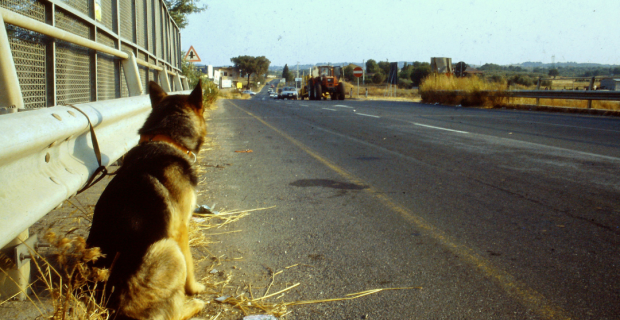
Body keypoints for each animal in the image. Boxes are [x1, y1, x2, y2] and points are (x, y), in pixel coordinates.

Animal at [86, 81, 207, 318]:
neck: (166, 138)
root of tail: (113, 307)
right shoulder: (180, 229)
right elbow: (190, 265)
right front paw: (194, 288)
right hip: (168, 248)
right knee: (173, 313)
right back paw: (194, 305)